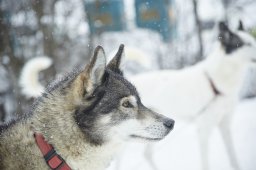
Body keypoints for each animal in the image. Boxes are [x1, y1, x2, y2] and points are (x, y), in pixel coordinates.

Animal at [131, 22, 256, 170]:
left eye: (253, 42)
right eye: (246, 44)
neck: (215, 84)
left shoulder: (225, 125)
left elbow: (233, 157)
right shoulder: (203, 130)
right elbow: (205, 163)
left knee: (147, 154)